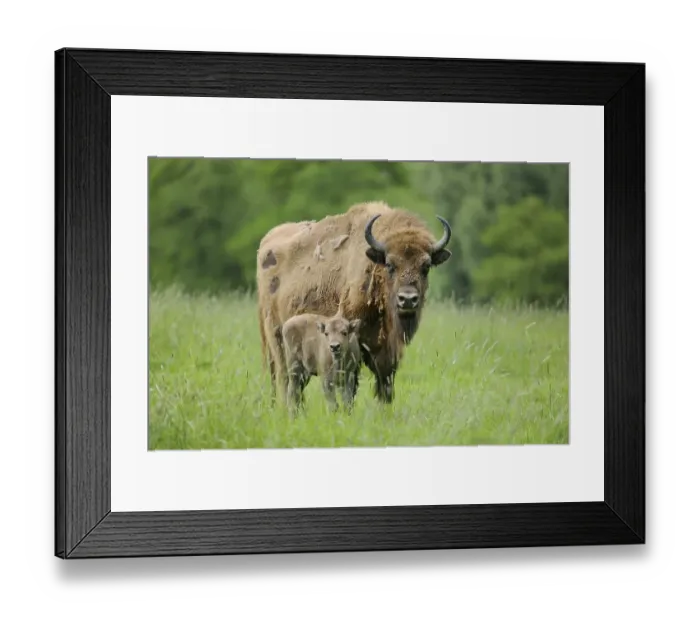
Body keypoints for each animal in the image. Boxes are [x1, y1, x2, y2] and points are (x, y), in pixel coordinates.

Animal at [256, 201, 452, 404]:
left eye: (425, 267)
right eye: (390, 265)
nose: (407, 299)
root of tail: (266, 243)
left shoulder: (388, 353)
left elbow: (385, 386)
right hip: (277, 342)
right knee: (284, 379)